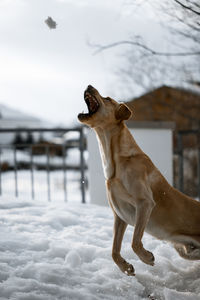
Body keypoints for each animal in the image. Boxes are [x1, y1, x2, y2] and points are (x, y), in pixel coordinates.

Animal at [77, 85, 200, 276]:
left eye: (107, 98)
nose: (89, 85)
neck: (117, 161)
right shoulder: (119, 216)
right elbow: (114, 250)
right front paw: (125, 267)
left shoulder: (145, 203)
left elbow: (135, 241)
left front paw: (147, 257)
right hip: (184, 250)